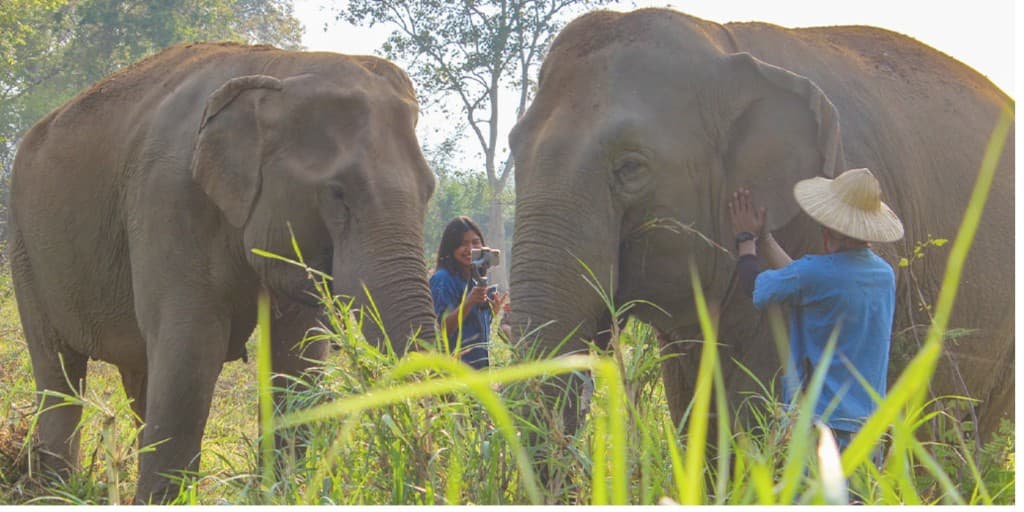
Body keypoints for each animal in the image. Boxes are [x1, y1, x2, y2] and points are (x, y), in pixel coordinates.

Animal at [8, 42, 437, 502]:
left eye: (429, 190)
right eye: (338, 194)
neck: (279, 69)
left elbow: (298, 358)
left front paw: (280, 492)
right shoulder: (167, 195)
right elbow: (192, 348)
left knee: (139, 373)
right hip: (24, 245)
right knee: (58, 369)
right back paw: (53, 489)